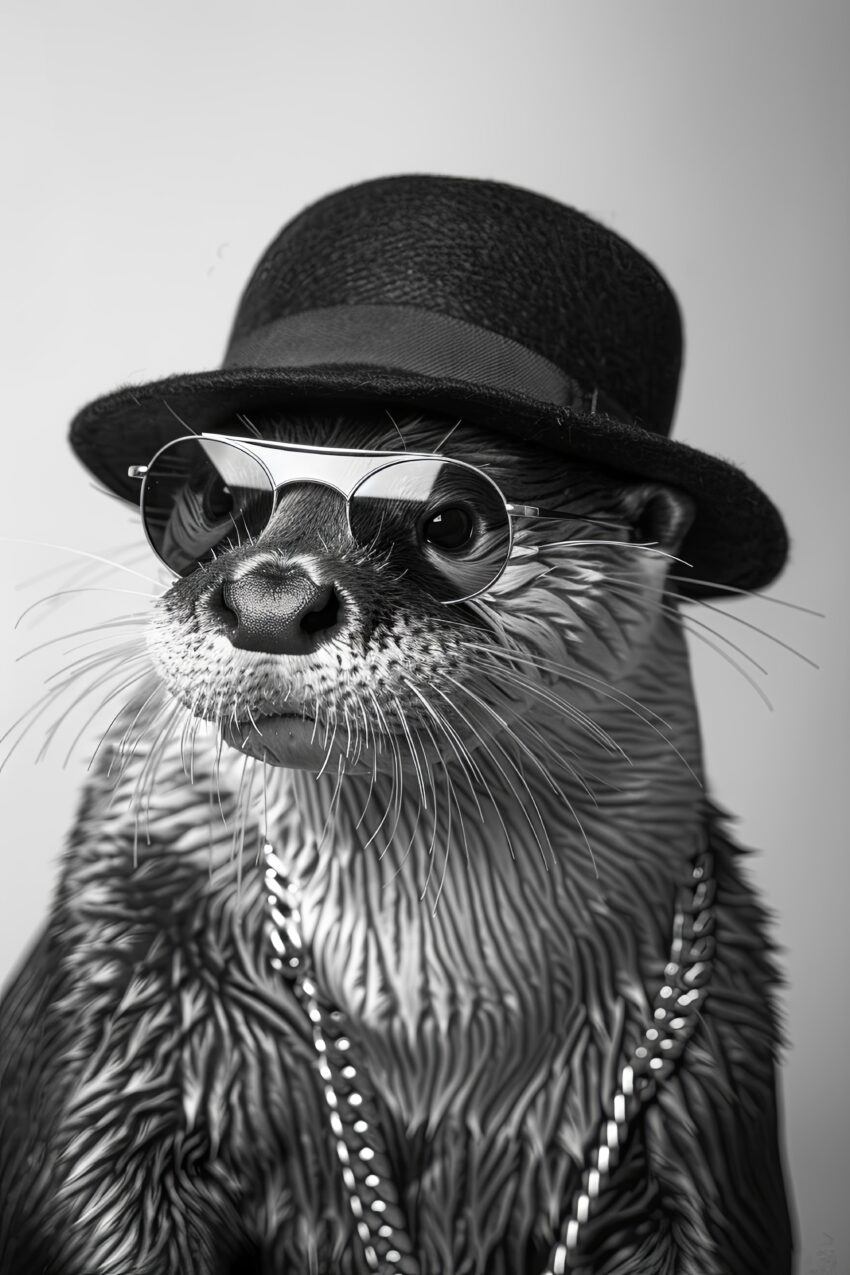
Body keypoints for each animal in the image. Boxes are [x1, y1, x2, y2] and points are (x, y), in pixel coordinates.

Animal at [0, 176, 794, 1274]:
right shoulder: (112, 998)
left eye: (455, 523)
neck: (438, 1021)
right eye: (207, 495)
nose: (270, 600)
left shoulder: (711, 1089)